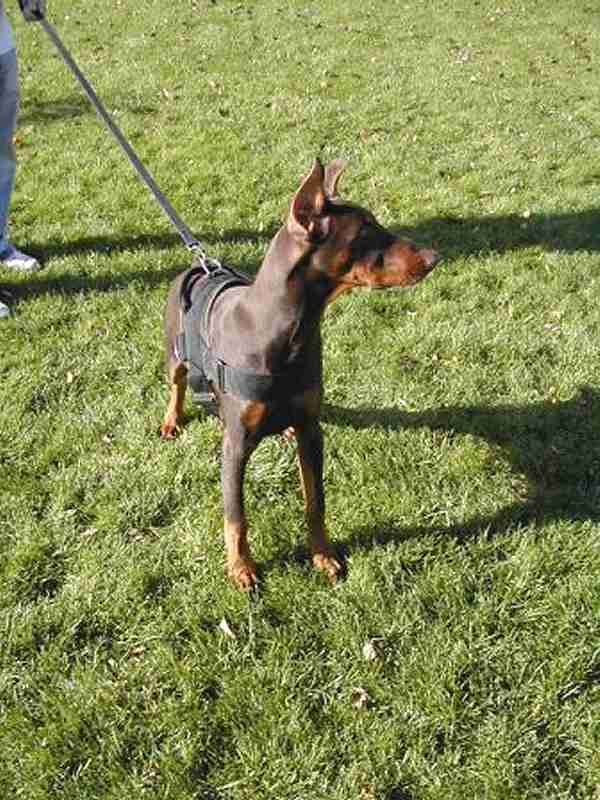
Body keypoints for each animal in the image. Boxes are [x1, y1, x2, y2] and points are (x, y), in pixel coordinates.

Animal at [159, 159, 440, 592]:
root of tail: (196, 266)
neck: (290, 331)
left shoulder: (312, 429)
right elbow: (236, 516)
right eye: (364, 232)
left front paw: (322, 555)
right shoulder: (235, 445)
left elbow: (315, 501)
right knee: (174, 385)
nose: (433, 257)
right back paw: (172, 420)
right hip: (175, 352)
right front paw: (241, 568)